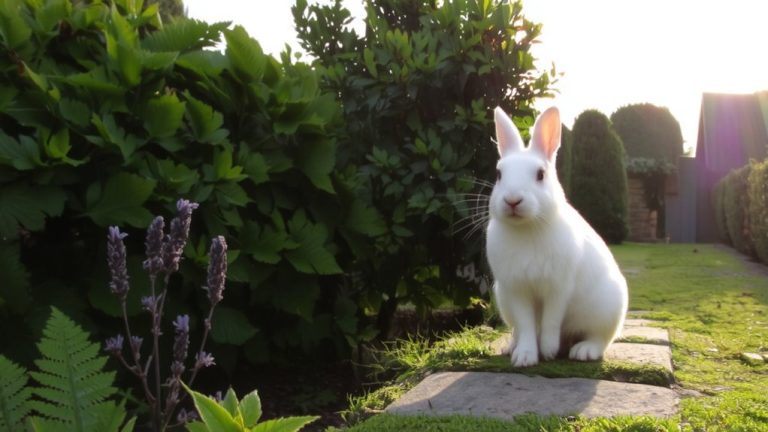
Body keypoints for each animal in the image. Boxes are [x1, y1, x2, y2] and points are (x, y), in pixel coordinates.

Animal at [486, 106, 628, 367]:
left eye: (540, 175)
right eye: (499, 174)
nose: (512, 200)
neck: (528, 227)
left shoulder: (558, 287)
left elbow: (551, 321)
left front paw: (548, 351)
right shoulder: (517, 290)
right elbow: (527, 325)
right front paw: (525, 357)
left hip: (607, 309)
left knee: (600, 338)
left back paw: (583, 351)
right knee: (518, 330)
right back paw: (510, 348)